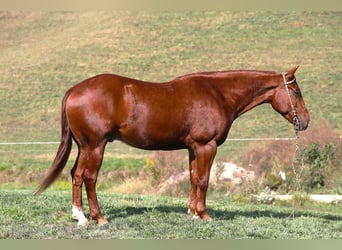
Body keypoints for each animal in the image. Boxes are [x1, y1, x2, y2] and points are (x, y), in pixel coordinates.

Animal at [36, 65, 310, 226]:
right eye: (296, 91)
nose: (306, 121)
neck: (218, 93)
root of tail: (74, 90)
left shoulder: (193, 148)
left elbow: (193, 178)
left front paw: (192, 212)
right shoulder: (206, 146)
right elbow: (204, 180)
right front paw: (204, 214)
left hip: (84, 146)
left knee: (76, 174)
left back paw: (79, 216)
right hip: (95, 145)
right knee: (90, 177)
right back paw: (98, 218)